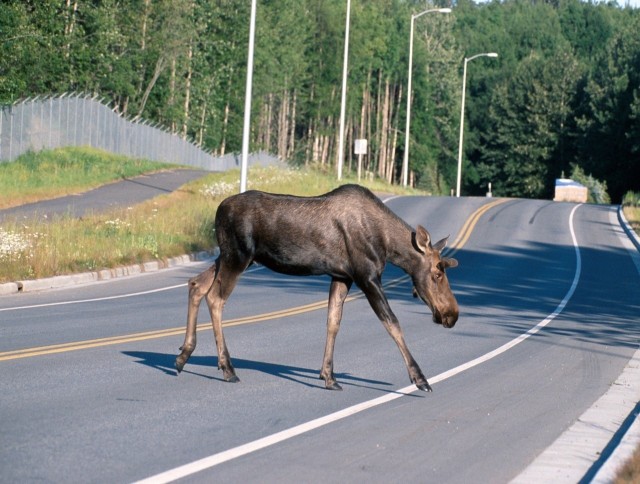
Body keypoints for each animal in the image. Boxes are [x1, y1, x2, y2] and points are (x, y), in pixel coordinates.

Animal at [175, 183, 458, 392]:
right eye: (437, 273)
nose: (452, 315)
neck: (388, 245)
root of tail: (218, 210)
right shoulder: (367, 276)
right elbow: (392, 323)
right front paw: (420, 379)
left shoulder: (342, 276)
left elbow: (333, 322)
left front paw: (329, 376)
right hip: (238, 256)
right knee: (215, 298)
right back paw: (227, 368)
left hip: (228, 256)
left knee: (196, 284)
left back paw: (183, 355)